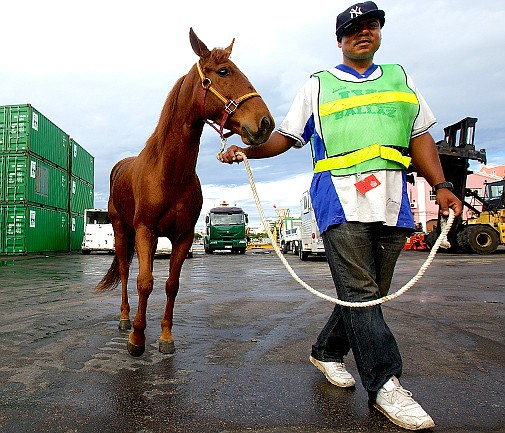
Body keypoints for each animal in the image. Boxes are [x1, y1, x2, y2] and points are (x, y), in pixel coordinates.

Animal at [96, 28, 274, 356]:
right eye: (224, 71)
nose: (265, 123)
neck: (170, 175)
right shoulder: (144, 230)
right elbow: (144, 282)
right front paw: (137, 338)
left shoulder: (182, 236)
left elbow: (170, 285)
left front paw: (165, 337)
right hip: (121, 228)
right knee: (126, 272)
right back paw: (126, 319)